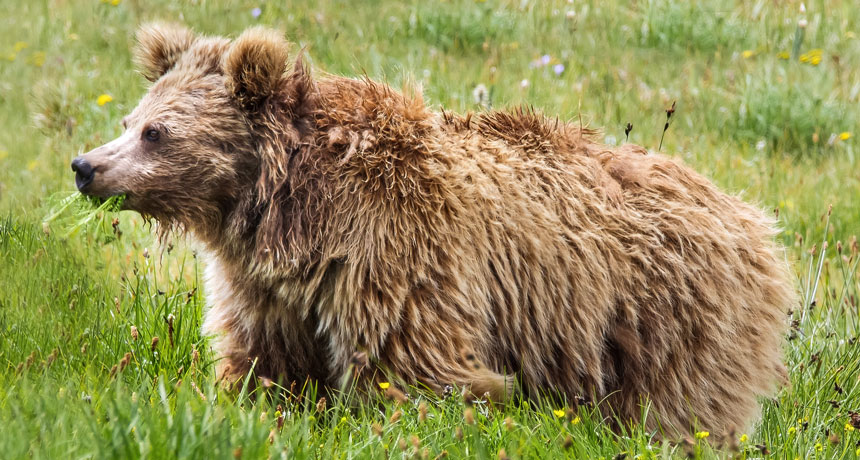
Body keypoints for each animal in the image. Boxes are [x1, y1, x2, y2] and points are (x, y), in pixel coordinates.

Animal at [71, 23, 795, 437]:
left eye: (157, 132)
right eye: (130, 118)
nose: (86, 167)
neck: (287, 209)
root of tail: (751, 217)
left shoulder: (394, 251)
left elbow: (416, 368)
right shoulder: (266, 285)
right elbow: (264, 362)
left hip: (669, 313)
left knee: (681, 407)